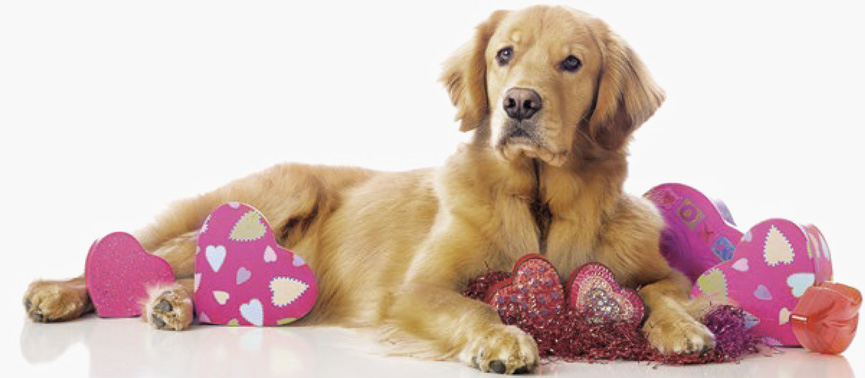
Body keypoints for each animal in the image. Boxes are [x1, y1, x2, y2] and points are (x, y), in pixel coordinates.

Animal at [25, 5, 716, 376]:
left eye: (572, 62)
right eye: (504, 54)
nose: (520, 103)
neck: (542, 201)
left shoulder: (664, 271)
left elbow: (662, 296)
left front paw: (682, 330)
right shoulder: (417, 289)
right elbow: (475, 307)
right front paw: (500, 339)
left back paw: (173, 304)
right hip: (283, 191)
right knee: (148, 255)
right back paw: (57, 294)